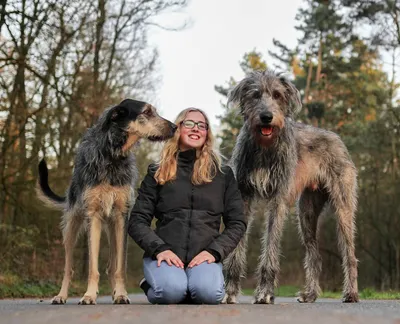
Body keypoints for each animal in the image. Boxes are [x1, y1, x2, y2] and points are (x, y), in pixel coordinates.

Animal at [36, 100, 177, 306]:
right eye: (147, 112)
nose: (175, 127)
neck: (112, 155)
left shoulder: (121, 217)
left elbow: (120, 267)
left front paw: (121, 294)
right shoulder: (93, 216)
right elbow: (92, 267)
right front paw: (89, 295)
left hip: (112, 227)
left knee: (112, 265)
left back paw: (115, 293)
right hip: (72, 226)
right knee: (68, 267)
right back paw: (61, 296)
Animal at [222, 69, 360, 306]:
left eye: (277, 95)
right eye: (255, 95)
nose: (266, 117)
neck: (264, 148)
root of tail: (337, 138)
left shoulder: (278, 199)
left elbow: (271, 245)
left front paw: (265, 292)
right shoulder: (244, 195)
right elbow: (237, 247)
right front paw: (230, 291)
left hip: (343, 205)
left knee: (349, 254)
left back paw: (350, 293)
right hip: (306, 212)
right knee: (315, 255)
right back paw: (310, 294)